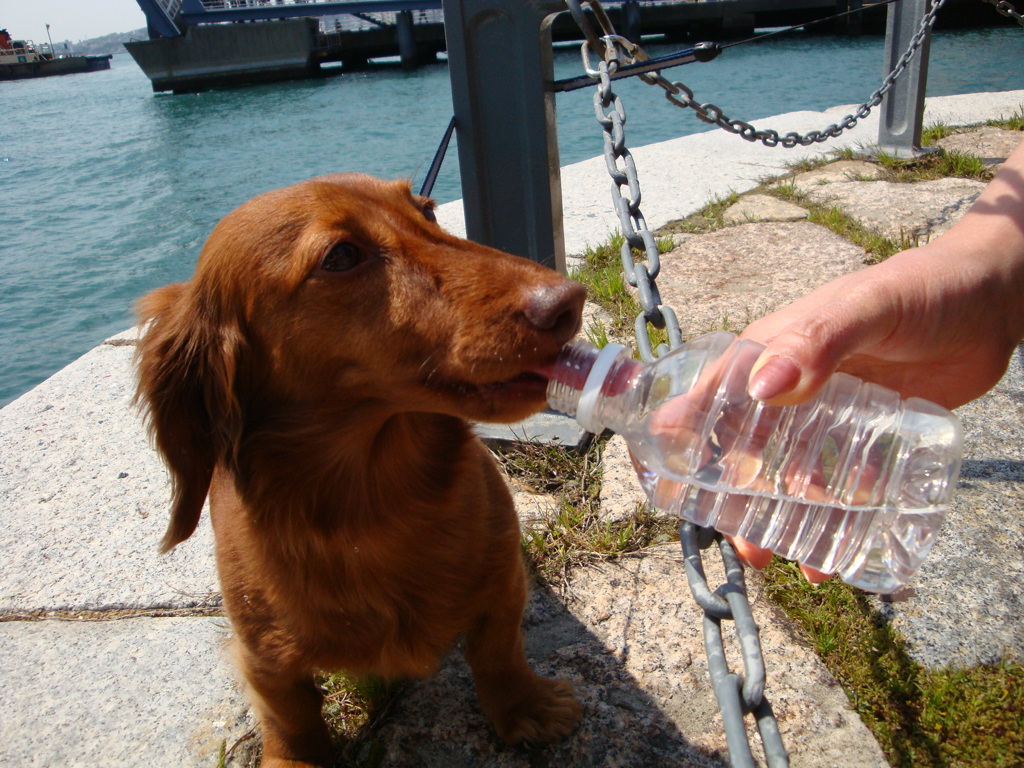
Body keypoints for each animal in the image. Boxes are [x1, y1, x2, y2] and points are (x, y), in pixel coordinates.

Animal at [135, 176, 585, 768]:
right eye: (341, 256)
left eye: (427, 211)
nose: (569, 300)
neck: (370, 506)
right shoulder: (263, 655)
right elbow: (290, 717)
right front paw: (295, 759)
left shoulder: (502, 583)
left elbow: (497, 651)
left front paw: (524, 707)